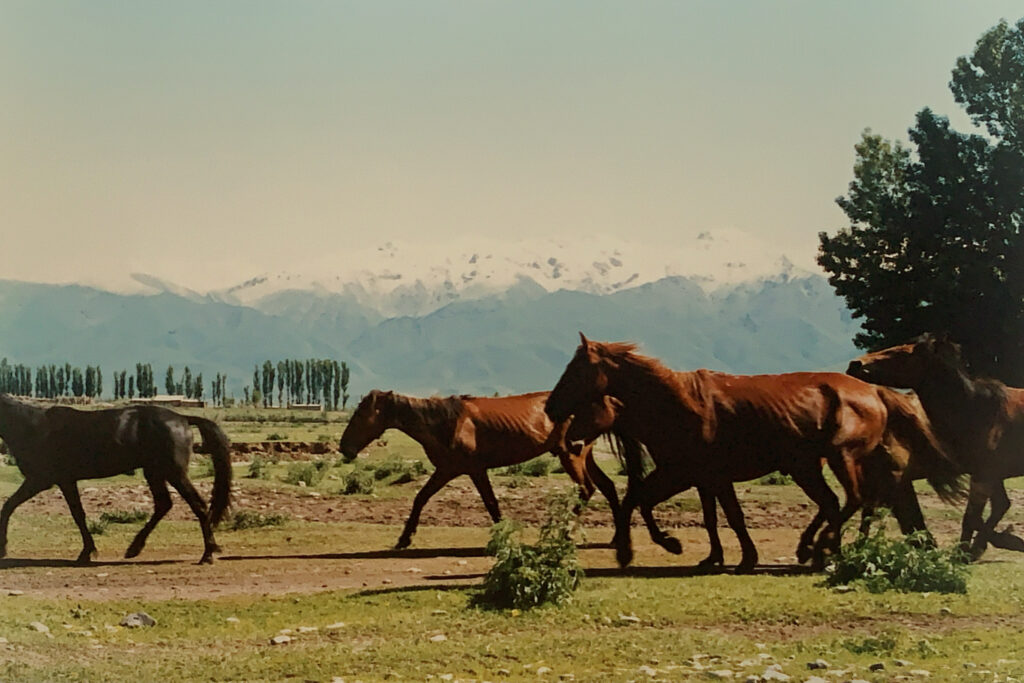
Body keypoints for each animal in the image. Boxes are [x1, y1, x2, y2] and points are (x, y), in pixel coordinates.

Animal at [0, 393, 231, 565]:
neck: (32, 427)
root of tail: (183, 419)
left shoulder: (41, 479)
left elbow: (8, 506)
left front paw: (3, 548)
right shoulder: (66, 481)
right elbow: (78, 514)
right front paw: (87, 552)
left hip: (173, 472)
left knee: (197, 505)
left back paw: (207, 554)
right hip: (154, 472)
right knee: (164, 504)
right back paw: (134, 549)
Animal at [339, 389, 634, 548]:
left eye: (362, 414)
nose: (344, 448)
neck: (447, 423)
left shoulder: (468, 470)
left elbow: (489, 503)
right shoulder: (451, 470)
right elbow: (421, 499)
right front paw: (404, 539)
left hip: (571, 455)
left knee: (587, 489)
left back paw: (566, 533)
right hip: (585, 454)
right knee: (607, 488)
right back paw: (615, 538)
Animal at [544, 335, 958, 573]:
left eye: (576, 371)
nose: (550, 409)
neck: (679, 404)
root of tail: (874, 391)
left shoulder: (693, 475)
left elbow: (719, 515)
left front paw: (658, 548)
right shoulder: (696, 477)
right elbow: (704, 515)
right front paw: (711, 556)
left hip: (840, 459)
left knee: (854, 500)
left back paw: (822, 548)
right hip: (808, 468)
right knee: (836, 503)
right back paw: (817, 551)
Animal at [847, 331, 1024, 561]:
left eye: (901, 355)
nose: (855, 364)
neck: (976, 410)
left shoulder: (983, 476)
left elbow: (972, 517)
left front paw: (966, 552)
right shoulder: (989, 475)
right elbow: (993, 509)